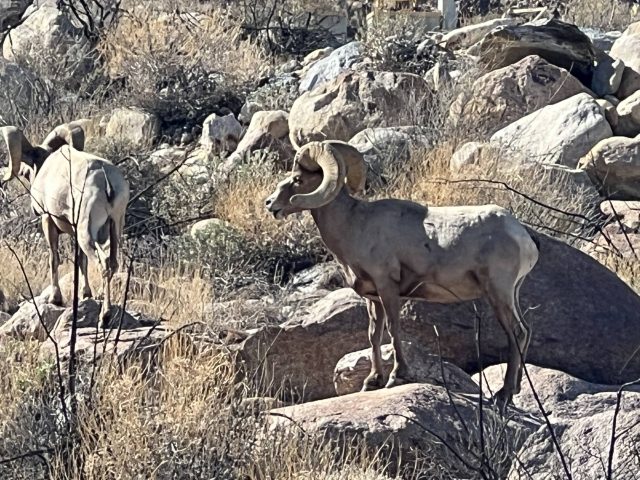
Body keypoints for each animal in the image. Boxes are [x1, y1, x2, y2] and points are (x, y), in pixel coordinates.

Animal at [0, 122, 130, 327]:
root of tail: (105, 180)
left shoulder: (48, 220)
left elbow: (54, 258)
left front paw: (56, 299)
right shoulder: (74, 232)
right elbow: (81, 262)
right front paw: (86, 295)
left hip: (87, 232)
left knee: (104, 264)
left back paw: (105, 317)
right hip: (114, 228)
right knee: (112, 263)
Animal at [265, 139, 540, 408]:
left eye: (298, 179)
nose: (270, 205)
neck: (354, 225)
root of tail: (523, 237)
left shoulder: (388, 288)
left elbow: (393, 329)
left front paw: (396, 377)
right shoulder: (373, 298)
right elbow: (374, 336)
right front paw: (372, 381)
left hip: (498, 293)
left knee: (516, 333)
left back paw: (503, 395)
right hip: (511, 293)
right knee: (525, 331)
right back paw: (515, 390)